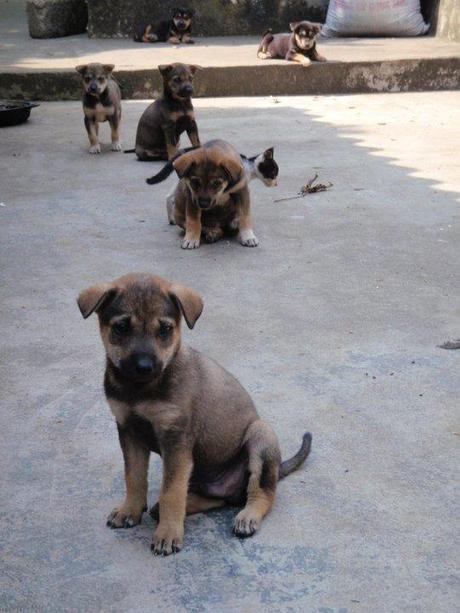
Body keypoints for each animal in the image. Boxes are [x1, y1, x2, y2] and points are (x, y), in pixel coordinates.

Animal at [77, 272, 312, 556]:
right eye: (121, 327)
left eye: (165, 329)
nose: (144, 368)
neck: (141, 390)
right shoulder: (129, 432)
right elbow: (133, 477)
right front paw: (129, 510)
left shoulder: (176, 442)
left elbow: (171, 492)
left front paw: (168, 534)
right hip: (200, 474)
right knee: (216, 499)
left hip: (261, 433)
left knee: (262, 491)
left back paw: (248, 516)